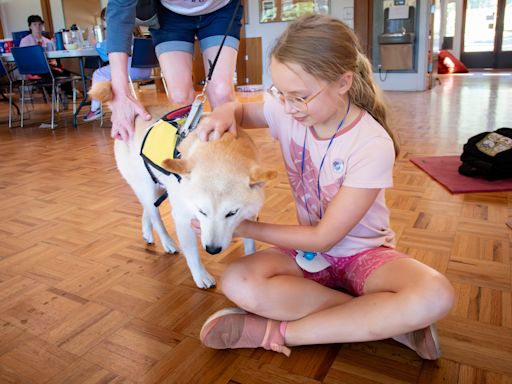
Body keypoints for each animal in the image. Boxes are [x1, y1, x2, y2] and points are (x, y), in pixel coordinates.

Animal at [91, 83, 276, 288]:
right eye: (202, 211)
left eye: (231, 213)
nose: (212, 250)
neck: (220, 147)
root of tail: (137, 113)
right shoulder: (182, 217)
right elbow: (193, 253)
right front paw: (201, 276)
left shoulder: (249, 215)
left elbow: (250, 244)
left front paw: (251, 260)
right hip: (148, 189)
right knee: (155, 216)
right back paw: (167, 242)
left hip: (158, 187)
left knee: (147, 209)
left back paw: (147, 232)